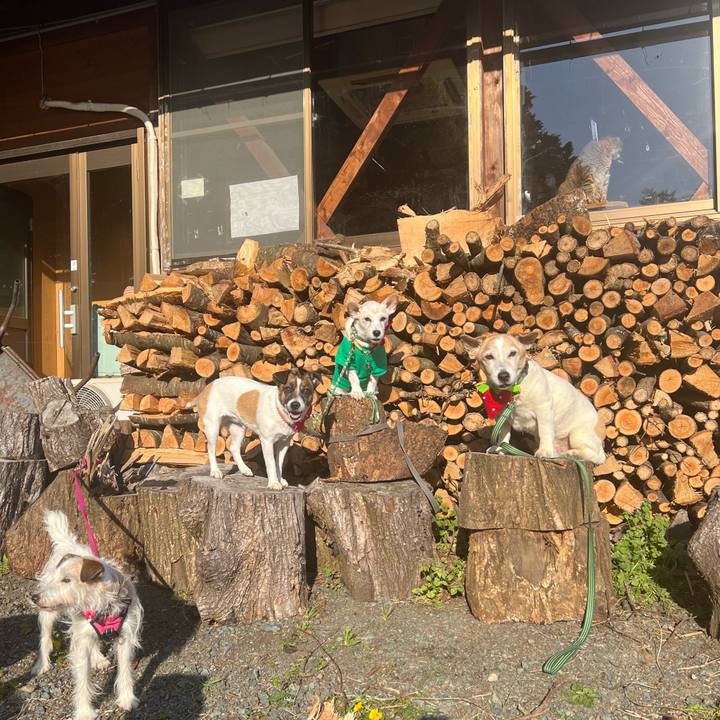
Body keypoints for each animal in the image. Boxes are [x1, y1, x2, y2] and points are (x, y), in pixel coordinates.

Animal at [31, 511, 142, 720]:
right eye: (57, 579)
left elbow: (125, 670)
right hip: (50, 614)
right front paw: (84, 711)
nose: (34, 597)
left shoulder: (125, 636)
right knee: (45, 636)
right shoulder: (81, 643)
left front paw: (126, 698)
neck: (101, 605)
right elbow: (83, 679)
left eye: (67, 580)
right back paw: (42, 664)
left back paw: (98, 658)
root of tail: (66, 541)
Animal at [463, 332, 606, 464]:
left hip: (578, 435)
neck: (515, 390)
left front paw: (544, 451)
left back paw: (572, 453)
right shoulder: (502, 417)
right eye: (489, 357)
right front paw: (500, 448)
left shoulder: (544, 410)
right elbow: (503, 434)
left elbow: (544, 431)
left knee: (595, 457)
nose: (503, 375)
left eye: (512, 353)